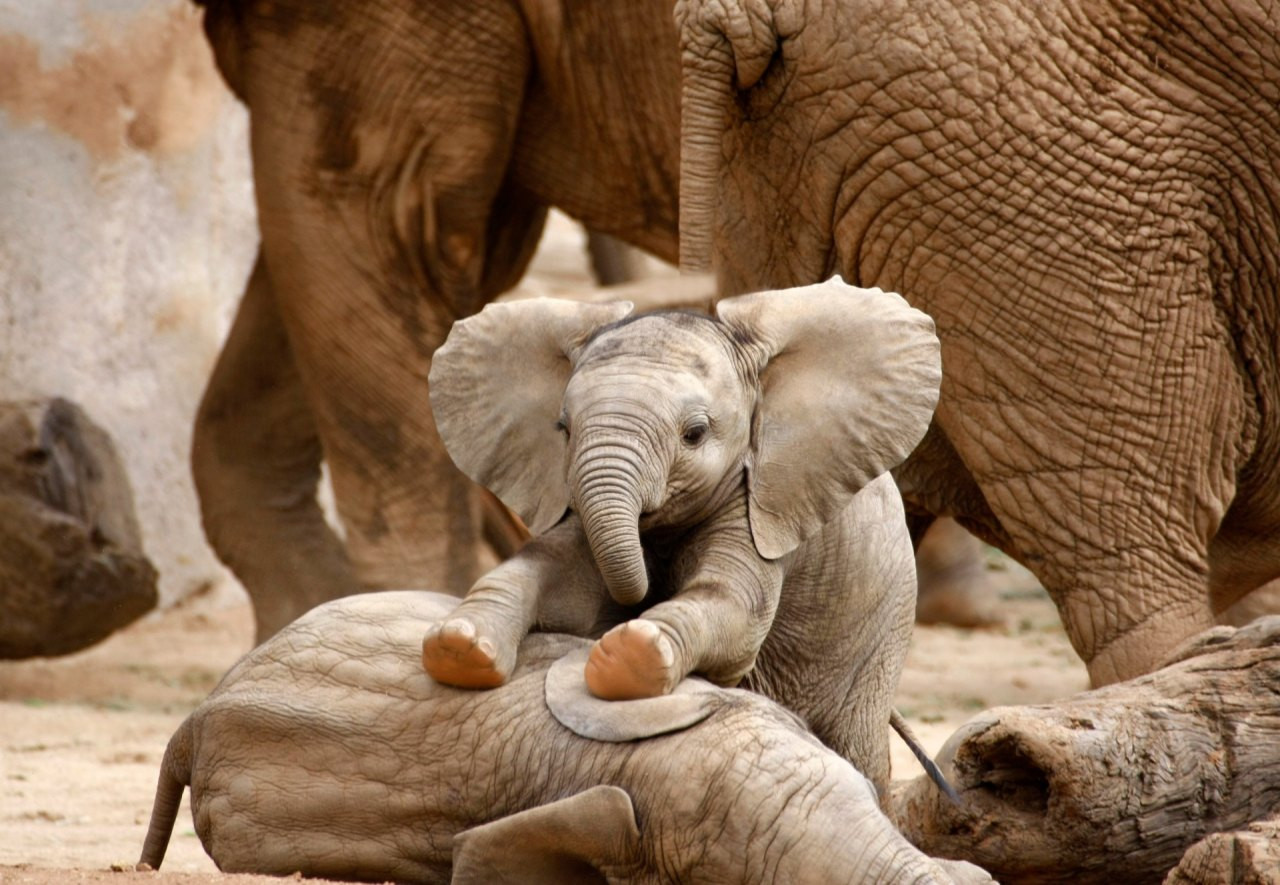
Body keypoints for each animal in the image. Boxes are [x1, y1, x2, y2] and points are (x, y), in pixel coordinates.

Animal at [420, 279, 941, 796]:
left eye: (694, 434)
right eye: (562, 430)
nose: (641, 597)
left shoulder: (762, 503)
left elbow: (734, 608)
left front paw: (628, 655)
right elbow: (554, 575)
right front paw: (458, 646)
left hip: (882, 633)